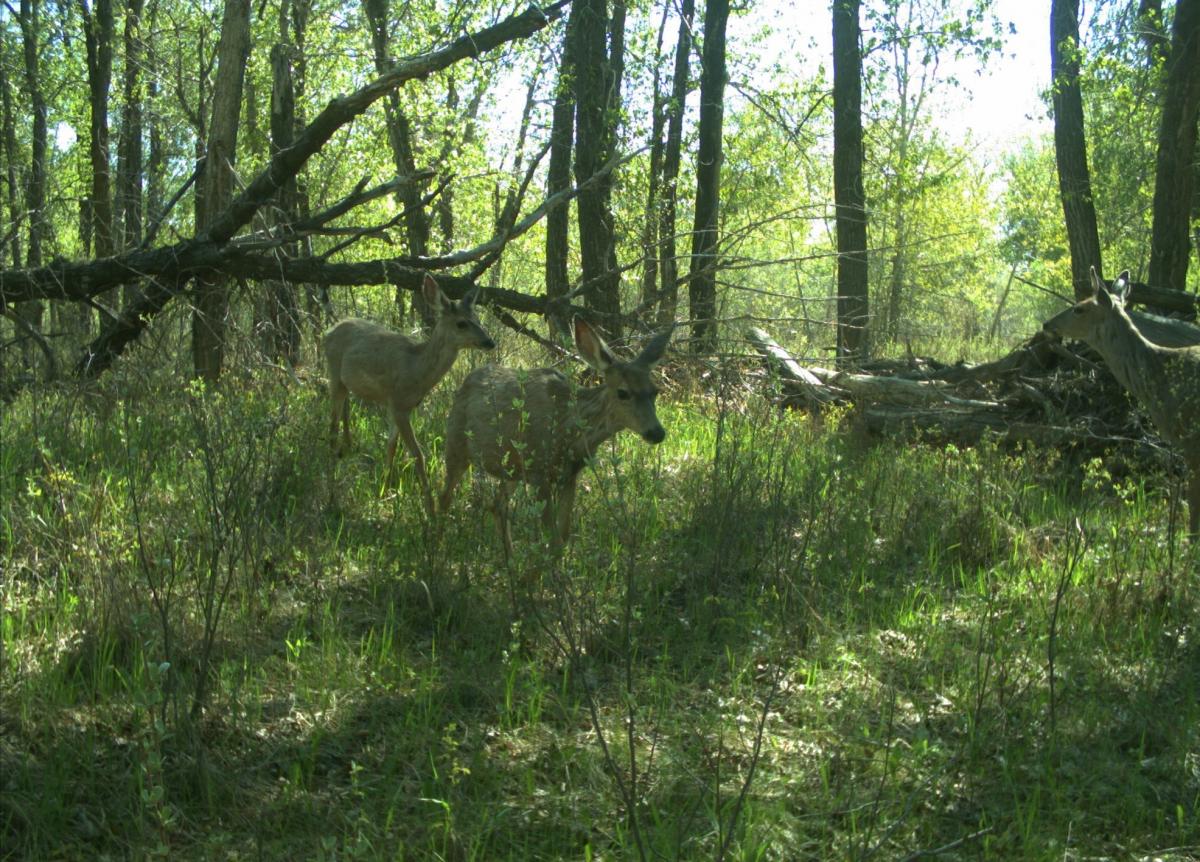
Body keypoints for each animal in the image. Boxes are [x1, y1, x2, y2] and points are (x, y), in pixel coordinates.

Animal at [323, 273, 495, 513]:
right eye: (461, 323)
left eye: (478, 319)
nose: (490, 342)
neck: (416, 370)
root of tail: (328, 332)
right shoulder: (398, 404)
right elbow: (418, 454)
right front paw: (430, 508)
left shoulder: (400, 406)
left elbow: (391, 447)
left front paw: (384, 490)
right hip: (334, 372)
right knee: (331, 426)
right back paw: (331, 482)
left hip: (346, 383)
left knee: (342, 416)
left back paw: (346, 450)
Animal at [439, 318, 674, 553]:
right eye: (623, 392)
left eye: (655, 391)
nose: (657, 432)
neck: (569, 430)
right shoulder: (539, 471)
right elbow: (553, 539)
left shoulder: (570, 474)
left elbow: (563, 536)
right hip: (456, 444)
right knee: (445, 497)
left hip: (513, 469)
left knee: (497, 505)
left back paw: (510, 558)